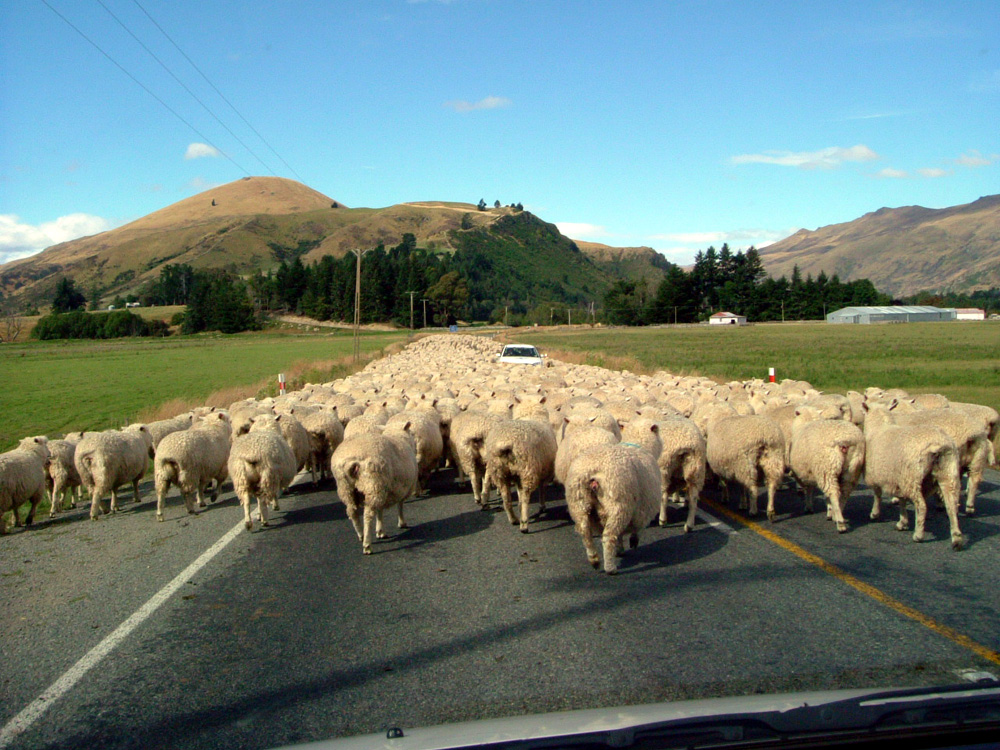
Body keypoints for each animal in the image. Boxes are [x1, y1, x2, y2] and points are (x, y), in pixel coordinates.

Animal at [568, 446, 660, 576]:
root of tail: (591, 473)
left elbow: (621, 534)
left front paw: (620, 549)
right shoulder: (643, 511)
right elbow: (637, 530)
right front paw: (632, 541)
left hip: (578, 503)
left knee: (585, 532)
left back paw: (594, 560)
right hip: (619, 504)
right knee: (609, 536)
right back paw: (610, 568)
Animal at [864, 406, 964, 552]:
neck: (880, 426)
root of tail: (937, 444)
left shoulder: (876, 476)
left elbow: (877, 495)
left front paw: (874, 514)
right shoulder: (899, 480)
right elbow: (901, 500)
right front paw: (902, 523)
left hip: (913, 478)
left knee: (921, 506)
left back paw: (918, 535)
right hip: (948, 472)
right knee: (951, 506)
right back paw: (957, 539)